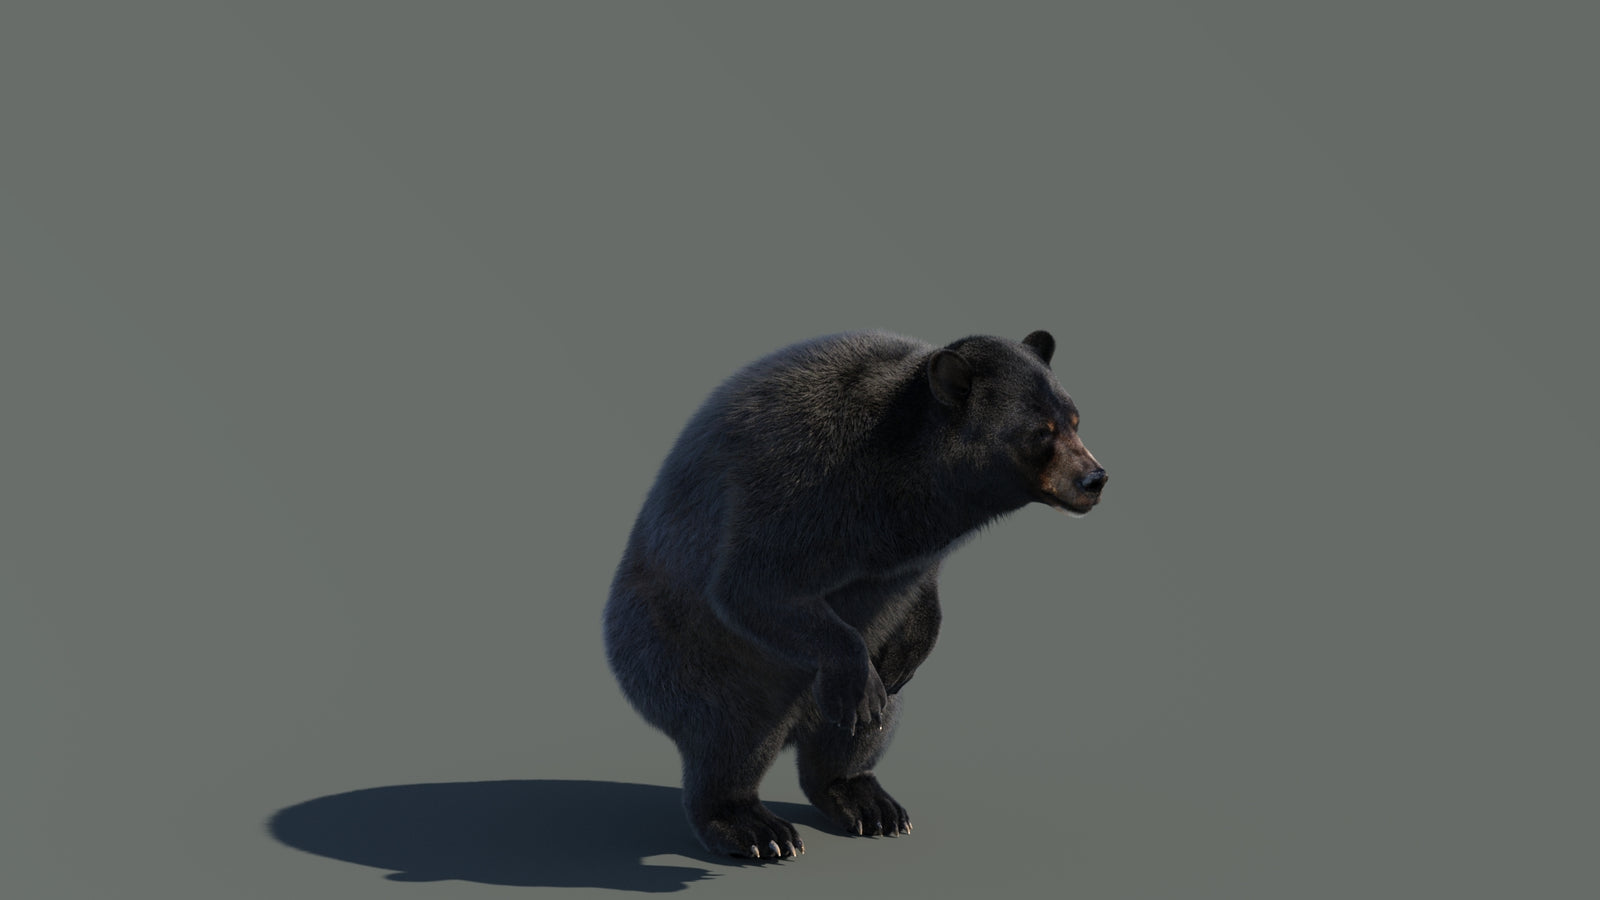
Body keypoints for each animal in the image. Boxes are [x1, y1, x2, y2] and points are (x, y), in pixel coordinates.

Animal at [603, 329, 1107, 860]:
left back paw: (867, 800)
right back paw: (755, 827)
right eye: (1041, 432)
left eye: (1075, 419)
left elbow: (914, 599)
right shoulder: (807, 479)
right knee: (731, 732)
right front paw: (858, 683)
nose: (1095, 478)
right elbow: (753, 585)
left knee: (856, 737)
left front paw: (905, 655)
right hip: (686, 654)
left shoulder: (912, 551)